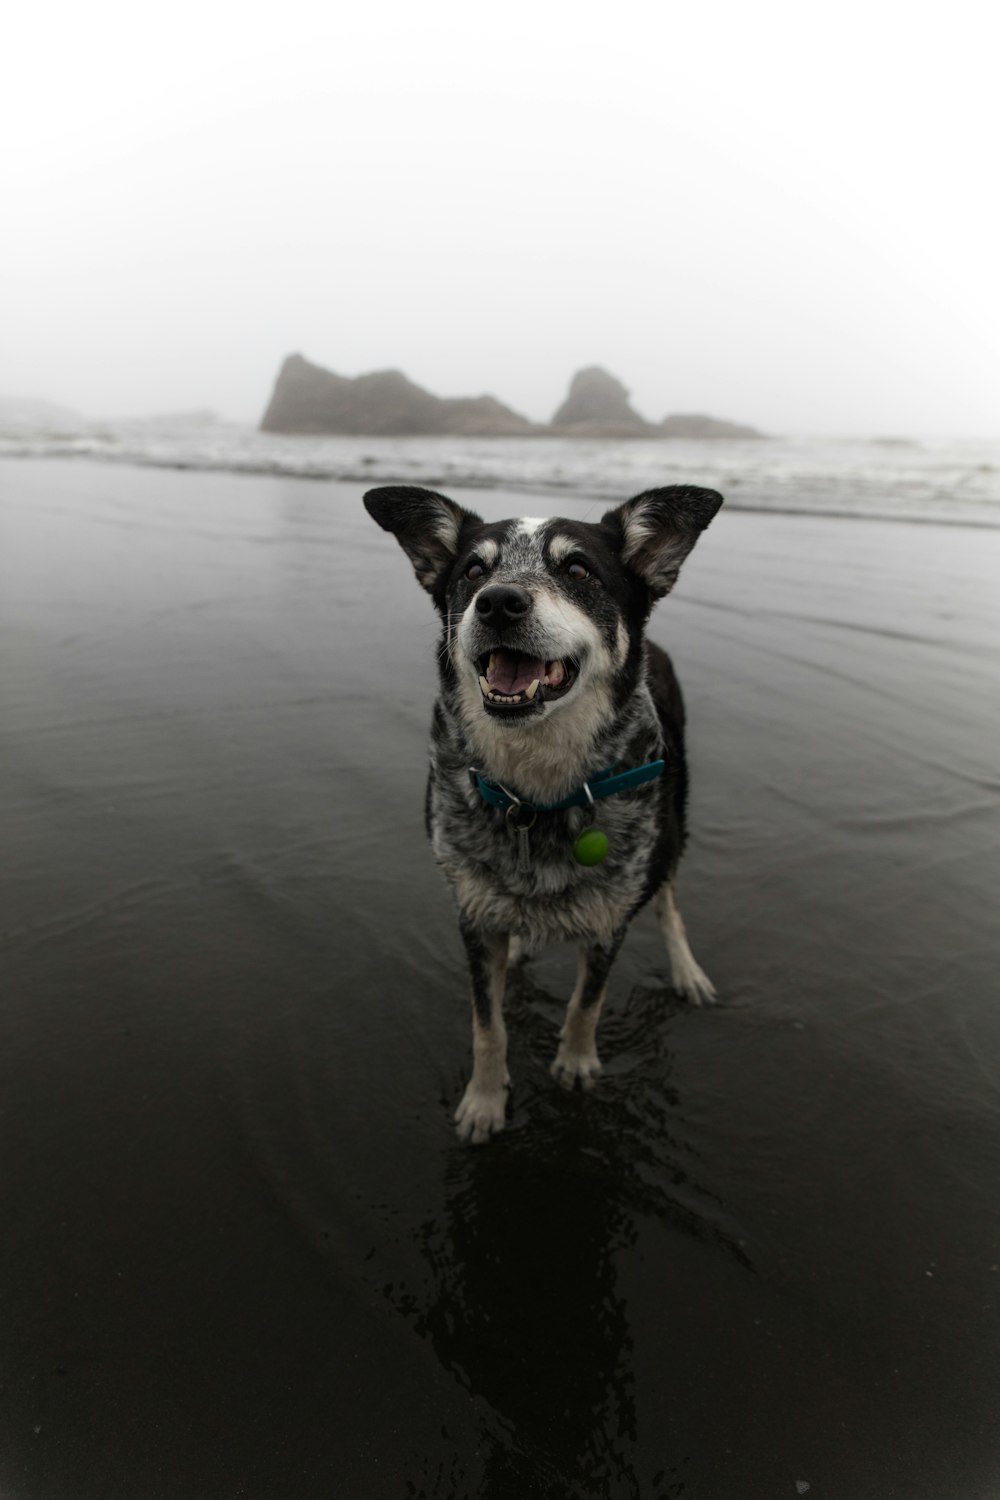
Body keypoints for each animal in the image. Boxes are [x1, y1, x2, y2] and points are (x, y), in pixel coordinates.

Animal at [364, 486, 722, 1140]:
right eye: (472, 571)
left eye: (578, 569)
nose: (498, 601)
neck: (538, 792)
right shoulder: (474, 916)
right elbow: (487, 1025)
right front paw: (484, 1101)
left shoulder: (611, 917)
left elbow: (587, 1002)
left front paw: (576, 1063)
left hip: (674, 826)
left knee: (668, 903)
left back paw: (686, 971)